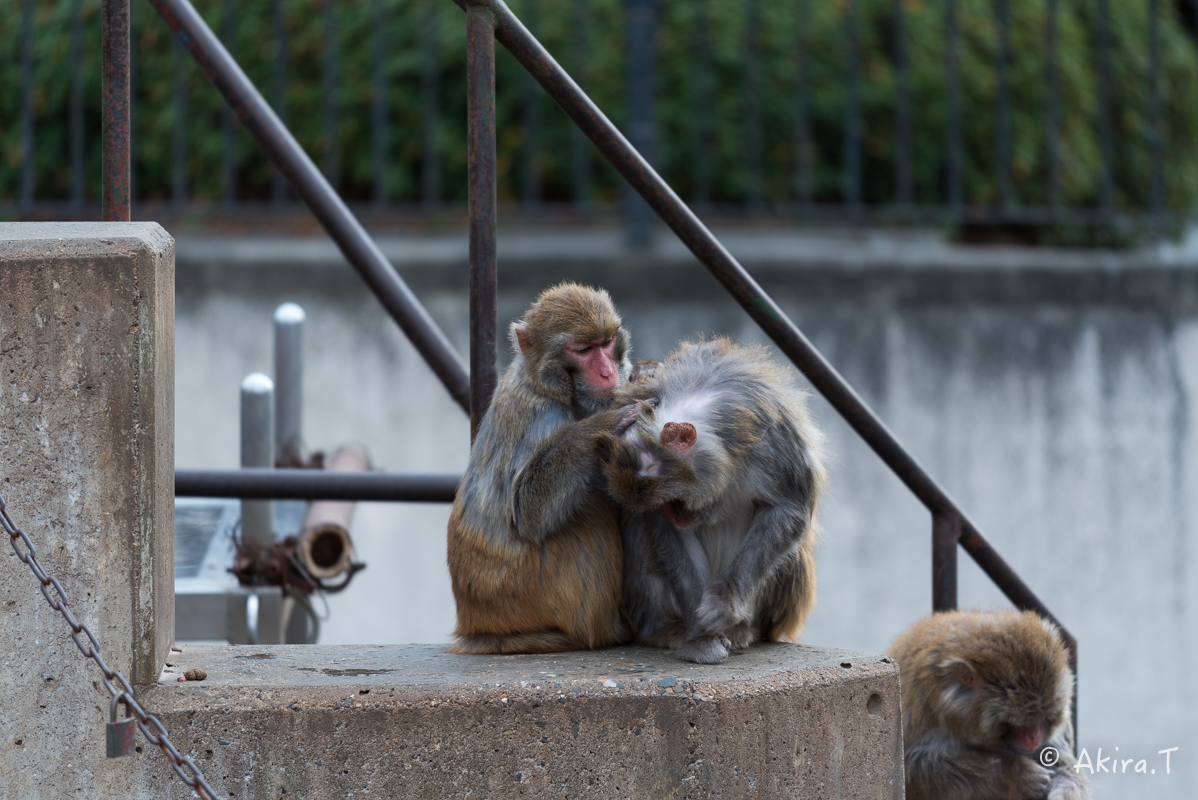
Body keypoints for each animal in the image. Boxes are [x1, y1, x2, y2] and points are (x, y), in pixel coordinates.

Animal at [445, 283, 642, 651]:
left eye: (606, 342)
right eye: (583, 350)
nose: (608, 372)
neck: (547, 385)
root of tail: (477, 625)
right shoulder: (544, 417)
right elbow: (528, 512)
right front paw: (598, 427)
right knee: (586, 510)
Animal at [891, 608, 1097, 795]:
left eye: (1044, 717)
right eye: (1017, 723)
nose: (1034, 738)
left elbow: (1062, 761)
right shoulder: (922, 712)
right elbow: (912, 765)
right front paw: (1015, 772)